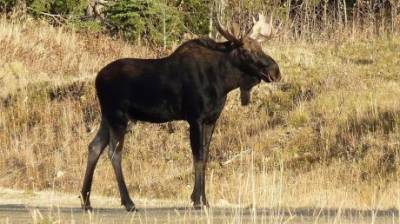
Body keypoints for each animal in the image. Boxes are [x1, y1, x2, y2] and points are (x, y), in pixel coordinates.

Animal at [80, 14, 282, 212]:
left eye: (261, 47)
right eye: (246, 52)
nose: (275, 71)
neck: (223, 82)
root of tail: (97, 79)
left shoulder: (211, 120)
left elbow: (205, 156)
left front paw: (203, 199)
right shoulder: (195, 118)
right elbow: (198, 157)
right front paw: (198, 200)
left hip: (107, 117)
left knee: (94, 146)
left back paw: (86, 201)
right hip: (118, 116)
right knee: (114, 152)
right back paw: (128, 202)